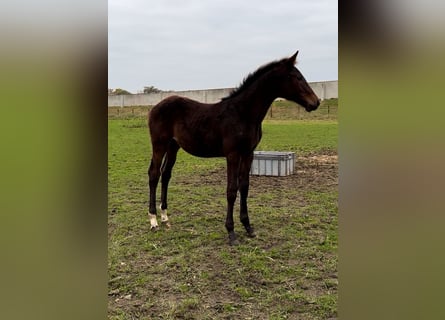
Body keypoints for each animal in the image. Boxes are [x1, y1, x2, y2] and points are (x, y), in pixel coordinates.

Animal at [148, 50, 320, 245]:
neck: (243, 113)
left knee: (166, 174)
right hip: (159, 144)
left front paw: (248, 227)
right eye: (297, 77)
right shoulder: (232, 154)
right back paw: (153, 220)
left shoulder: (248, 153)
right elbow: (231, 190)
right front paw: (231, 232)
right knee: (154, 174)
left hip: (173, 146)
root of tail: (154, 107)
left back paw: (165, 217)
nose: (315, 102)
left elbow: (244, 187)